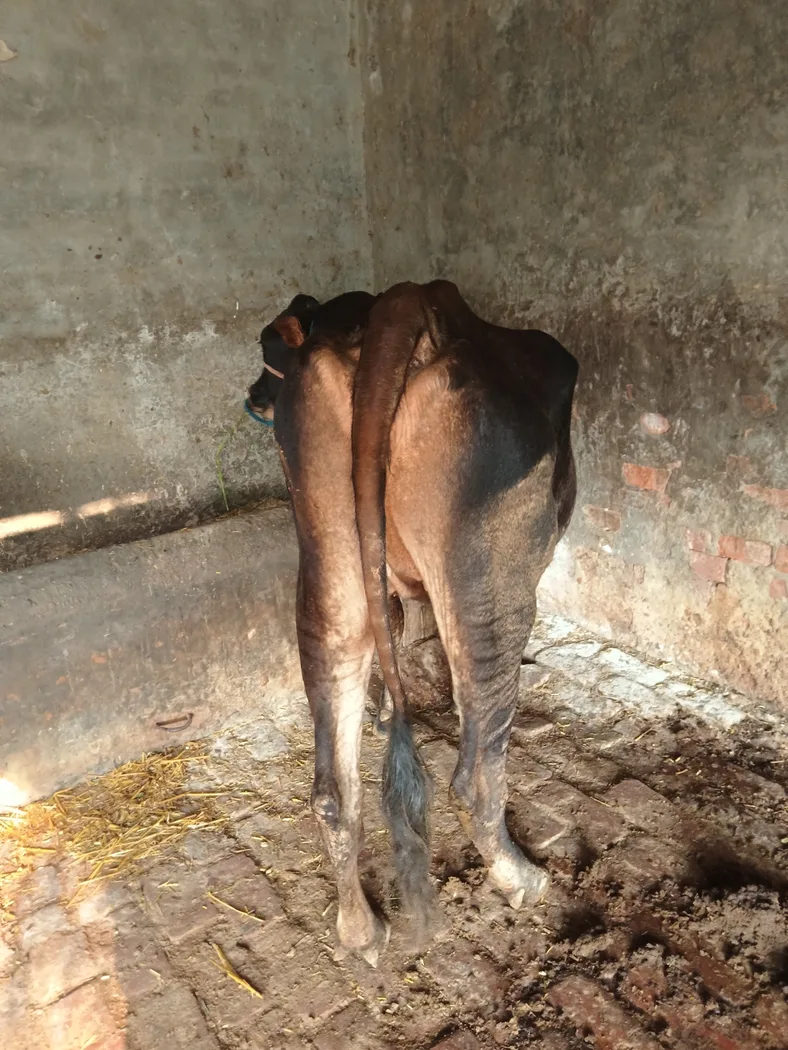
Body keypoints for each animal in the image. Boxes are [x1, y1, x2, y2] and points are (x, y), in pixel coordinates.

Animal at [246, 281, 578, 965]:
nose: (252, 396)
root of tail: (404, 305)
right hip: (491, 575)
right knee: (477, 768)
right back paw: (521, 878)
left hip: (329, 559)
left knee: (333, 783)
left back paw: (359, 928)